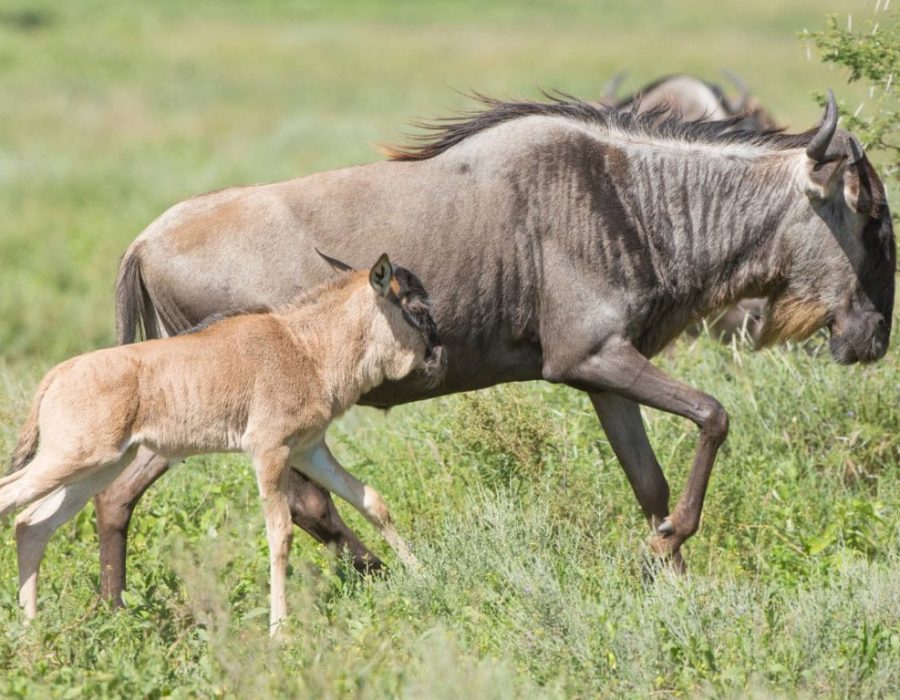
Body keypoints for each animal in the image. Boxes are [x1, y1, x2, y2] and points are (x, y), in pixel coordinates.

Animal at [2, 254, 445, 633]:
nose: (438, 356)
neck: (306, 347)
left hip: (99, 468)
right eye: (416, 307)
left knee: (32, 525)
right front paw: (279, 630)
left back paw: (32, 629)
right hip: (72, 459)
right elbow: (281, 533)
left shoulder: (309, 449)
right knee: (12, 501)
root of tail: (58, 373)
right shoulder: (269, 451)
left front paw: (423, 574)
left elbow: (371, 501)